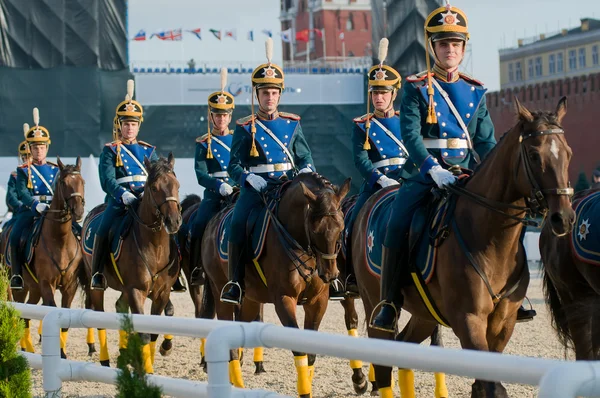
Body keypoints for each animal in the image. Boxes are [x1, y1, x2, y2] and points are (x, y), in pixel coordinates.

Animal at [9, 158, 87, 358]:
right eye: (63, 183)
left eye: (82, 182)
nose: (78, 211)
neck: (59, 240)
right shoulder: (47, 283)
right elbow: (51, 309)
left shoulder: (69, 286)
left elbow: (64, 317)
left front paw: (62, 353)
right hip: (20, 287)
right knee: (22, 311)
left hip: (34, 288)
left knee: (28, 312)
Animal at [85, 154, 182, 372]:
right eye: (154, 187)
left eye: (177, 185)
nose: (173, 221)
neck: (155, 247)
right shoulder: (136, 290)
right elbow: (144, 334)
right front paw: (144, 370)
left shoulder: (162, 293)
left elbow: (153, 332)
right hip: (97, 284)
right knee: (99, 317)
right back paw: (105, 361)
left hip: (125, 288)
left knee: (120, 305)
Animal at [203, 173, 352, 396]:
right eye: (315, 228)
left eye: (341, 227)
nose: (329, 274)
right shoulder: (284, 299)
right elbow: (299, 348)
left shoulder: (318, 301)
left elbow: (311, 353)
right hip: (219, 290)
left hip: (251, 300)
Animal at [354, 97, 576, 398]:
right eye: (533, 155)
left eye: (568, 153)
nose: (563, 217)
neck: (490, 238)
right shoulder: (469, 320)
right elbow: (493, 387)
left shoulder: (503, 324)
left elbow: (484, 386)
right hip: (374, 302)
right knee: (383, 362)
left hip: (425, 314)